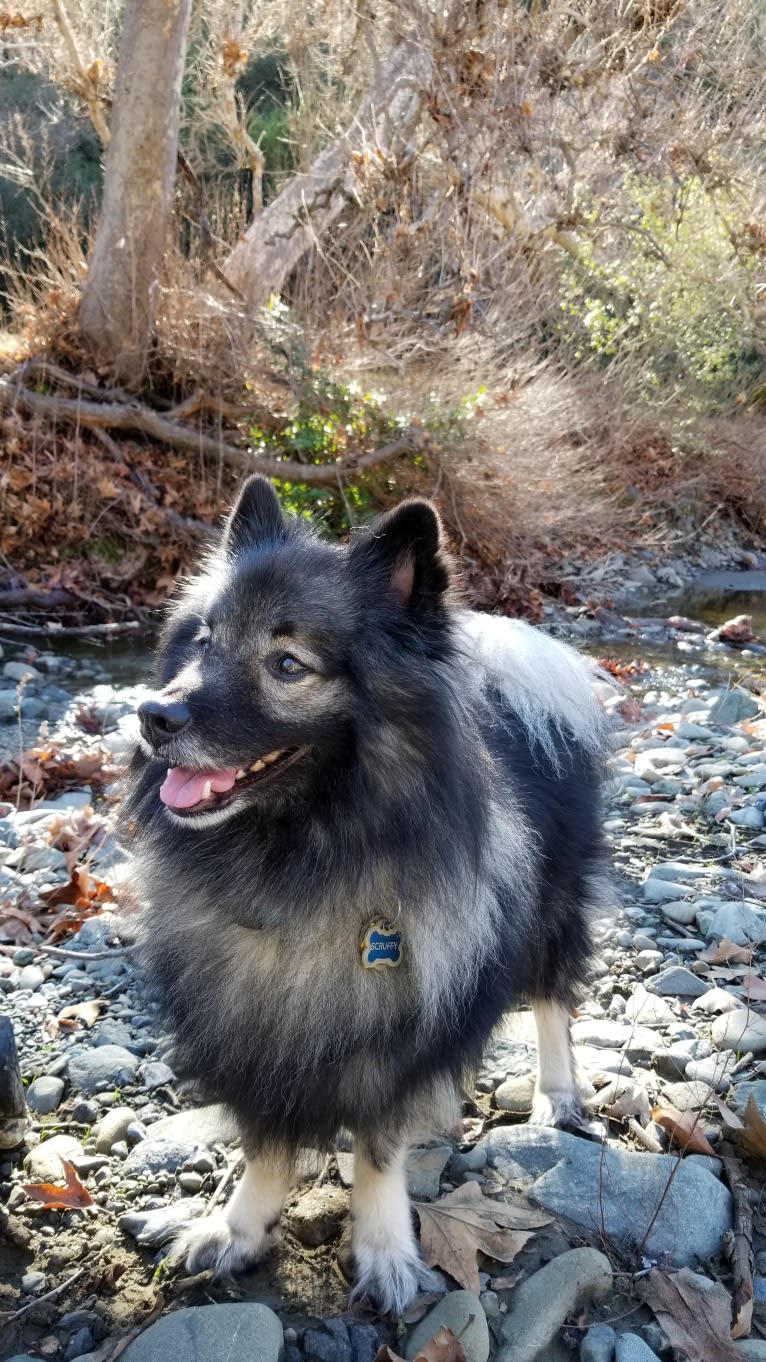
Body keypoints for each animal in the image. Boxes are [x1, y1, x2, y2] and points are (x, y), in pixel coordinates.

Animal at [121, 479, 605, 1318]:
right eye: (204, 642)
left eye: (287, 664)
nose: (155, 714)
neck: (299, 856)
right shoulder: (251, 1026)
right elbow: (266, 1144)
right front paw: (239, 1228)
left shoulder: (391, 1037)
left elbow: (379, 1150)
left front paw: (385, 1251)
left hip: (551, 913)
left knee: (551, 1002)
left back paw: (555, 1092)